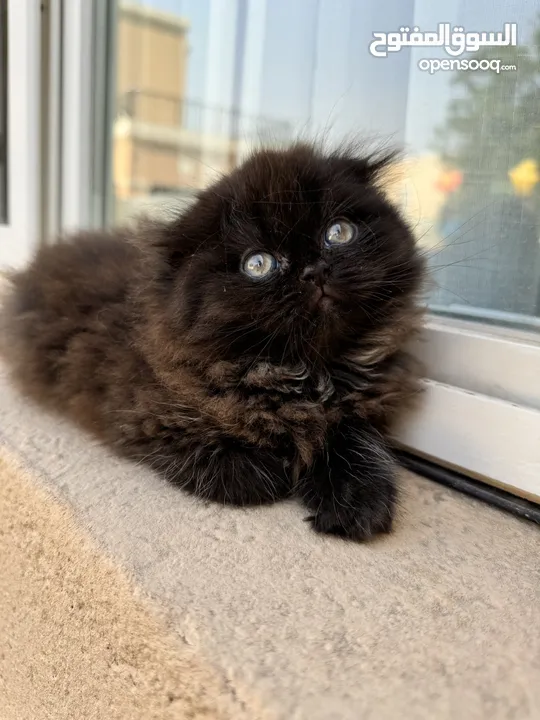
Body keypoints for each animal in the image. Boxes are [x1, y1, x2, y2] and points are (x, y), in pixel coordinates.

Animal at [2, 143, 428, 540]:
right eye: (258, 265)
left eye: (338, 233)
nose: (315, 270)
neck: (305, 370)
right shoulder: (146, 417)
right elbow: (237, 465)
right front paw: (279, 469)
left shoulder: (358, 406)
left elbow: (357, 441)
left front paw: (356, 502)